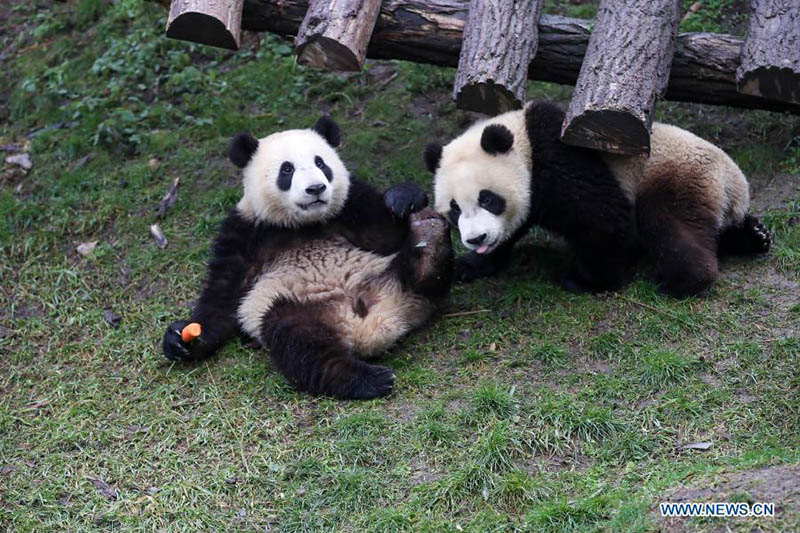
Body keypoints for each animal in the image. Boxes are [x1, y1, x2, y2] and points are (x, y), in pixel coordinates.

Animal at [163, 117, 454, 400]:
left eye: (321, 163)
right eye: (287, 170)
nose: (316, 188)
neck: (301, 224)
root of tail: (373, 322)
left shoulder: (350, 207)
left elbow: (386, 234)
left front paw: (404, 198)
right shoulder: (247, 230)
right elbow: (223, 297)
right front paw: (181, 339)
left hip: (384, 273)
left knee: (422, 275)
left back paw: (428, 237)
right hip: (295, 306)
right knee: (298, 344)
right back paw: (366, 379)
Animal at [424, 102, 768, 298]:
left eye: (488, 199)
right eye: (454, 210)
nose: (476, 238)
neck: (524, 143)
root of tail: (735, 185)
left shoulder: (559, 161)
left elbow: (601, 220)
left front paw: (585, 280)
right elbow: (514, 228)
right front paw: (473, 265)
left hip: (678, 177)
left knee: (671, 226)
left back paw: (681, 282)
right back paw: (753, 236)